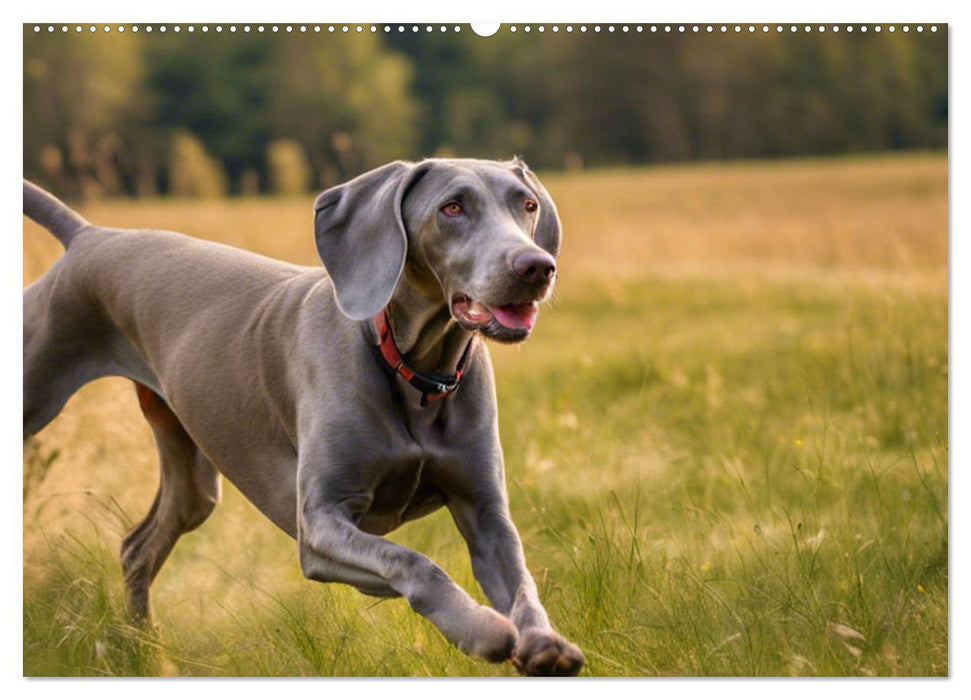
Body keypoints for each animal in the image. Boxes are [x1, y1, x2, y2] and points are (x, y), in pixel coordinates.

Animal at [22, 157, 584, 672]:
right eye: (452, 208)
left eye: (527, 205)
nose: (536, 266)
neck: (416, 370)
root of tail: (90, 236)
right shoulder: (319, 526)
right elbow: (414, 563)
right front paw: (482, 630)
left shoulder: (486, 514)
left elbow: (522, 583)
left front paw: (544, 643)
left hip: (192, 474)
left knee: (138, 547)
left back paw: (149, 656)